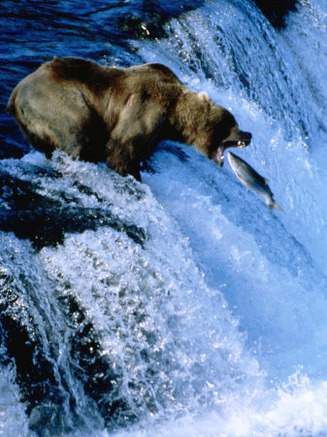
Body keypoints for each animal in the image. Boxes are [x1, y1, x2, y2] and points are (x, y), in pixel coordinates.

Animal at [7, 57, 254, 180]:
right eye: (233, 124)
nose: (249, 134)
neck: (174, 115)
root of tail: (15, 92)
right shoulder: (145, 111)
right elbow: (121, 149)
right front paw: (132, 174)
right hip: (57, 100)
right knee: (77, 134)